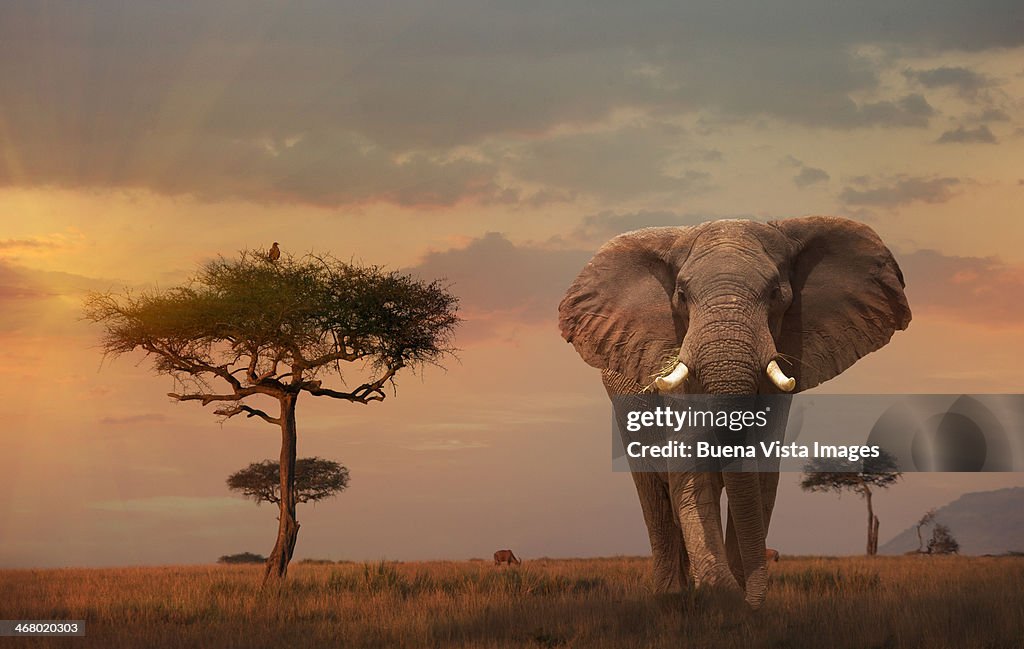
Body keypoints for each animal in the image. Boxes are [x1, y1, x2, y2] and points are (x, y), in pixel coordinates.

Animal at [561, 215, 913, 606]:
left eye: (775, 293)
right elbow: (690, 469)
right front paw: (722, 594)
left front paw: (737, 597)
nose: (752, 601)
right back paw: (671, 594)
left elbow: (759, 473)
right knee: (654, 493)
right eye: (681, 295)